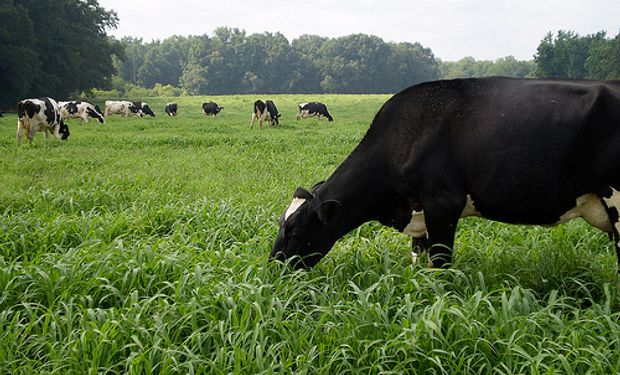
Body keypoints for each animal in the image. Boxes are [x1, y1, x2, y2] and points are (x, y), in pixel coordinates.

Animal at [272, 78, 620, 274]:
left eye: (295, 231)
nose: (274, 270)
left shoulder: (443, 203)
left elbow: (441, 265)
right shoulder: (419, 214)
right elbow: (420, 264)